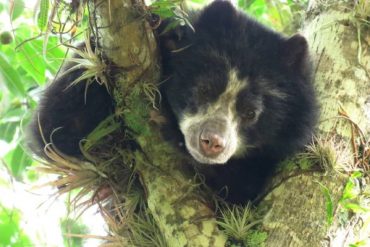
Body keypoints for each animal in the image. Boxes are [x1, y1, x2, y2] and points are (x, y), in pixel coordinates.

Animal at [26, 0, 318, 205]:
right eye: (204, 90)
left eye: (250, 113)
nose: (211, 142)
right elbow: (57, 131)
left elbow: (239, 192)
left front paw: (169, 128)